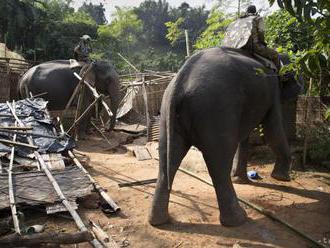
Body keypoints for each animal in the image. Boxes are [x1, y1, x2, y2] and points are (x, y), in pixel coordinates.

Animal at [149, 46, 302, 227]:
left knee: (167, 160)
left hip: (167, 112)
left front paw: (241, 179)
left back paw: (158, 221)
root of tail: (180, 80)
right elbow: (273, 130)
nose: (300, 88)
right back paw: (238, 219)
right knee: (219, 163)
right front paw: (282, 178)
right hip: (216, 109)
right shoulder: (273, 91)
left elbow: (245, 136)